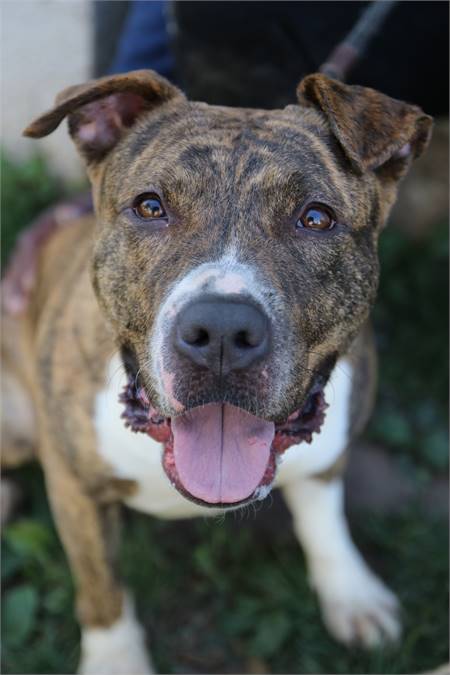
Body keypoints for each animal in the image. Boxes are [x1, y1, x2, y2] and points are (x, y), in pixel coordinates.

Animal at [2, 71, 432, 672]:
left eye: (316, 218)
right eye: (150, 207)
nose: (223, 332)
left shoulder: (331, 449)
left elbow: (324, 514)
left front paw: (350, 592)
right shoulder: (74, 487)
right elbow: (102, 587)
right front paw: (116, 659)